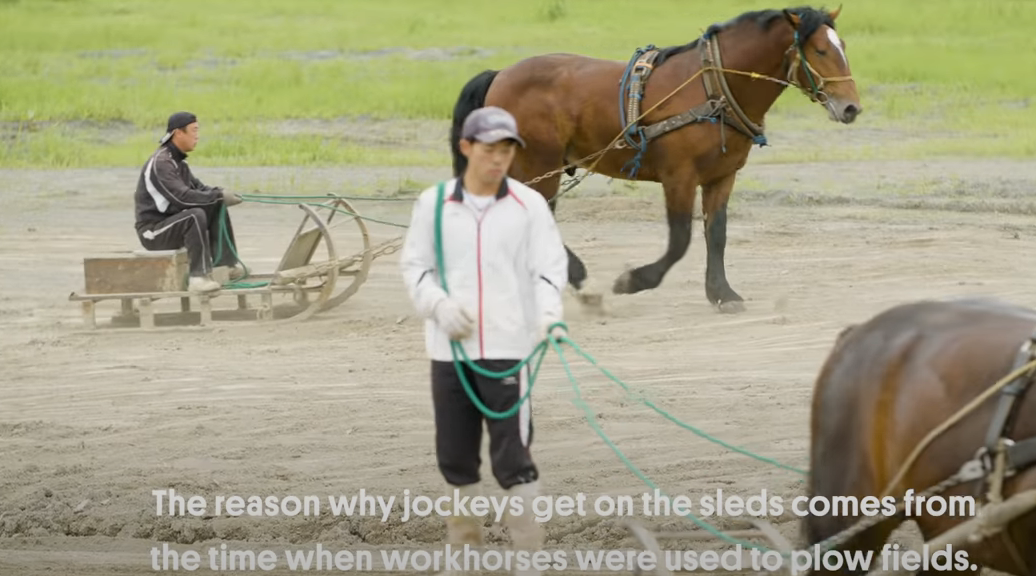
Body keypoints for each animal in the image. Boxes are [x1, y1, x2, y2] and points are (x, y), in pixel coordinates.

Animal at [449, 4, 861, 312]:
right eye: (820, 51)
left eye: (842, 46)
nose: (851, 107)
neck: (712, 88)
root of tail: (500, 74)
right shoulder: (679, 176)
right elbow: (680, 239)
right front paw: (633, 280)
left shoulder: (722, 177)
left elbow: (717, 233)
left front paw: (721, 293)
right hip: (541, 166)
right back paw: (580, 279)